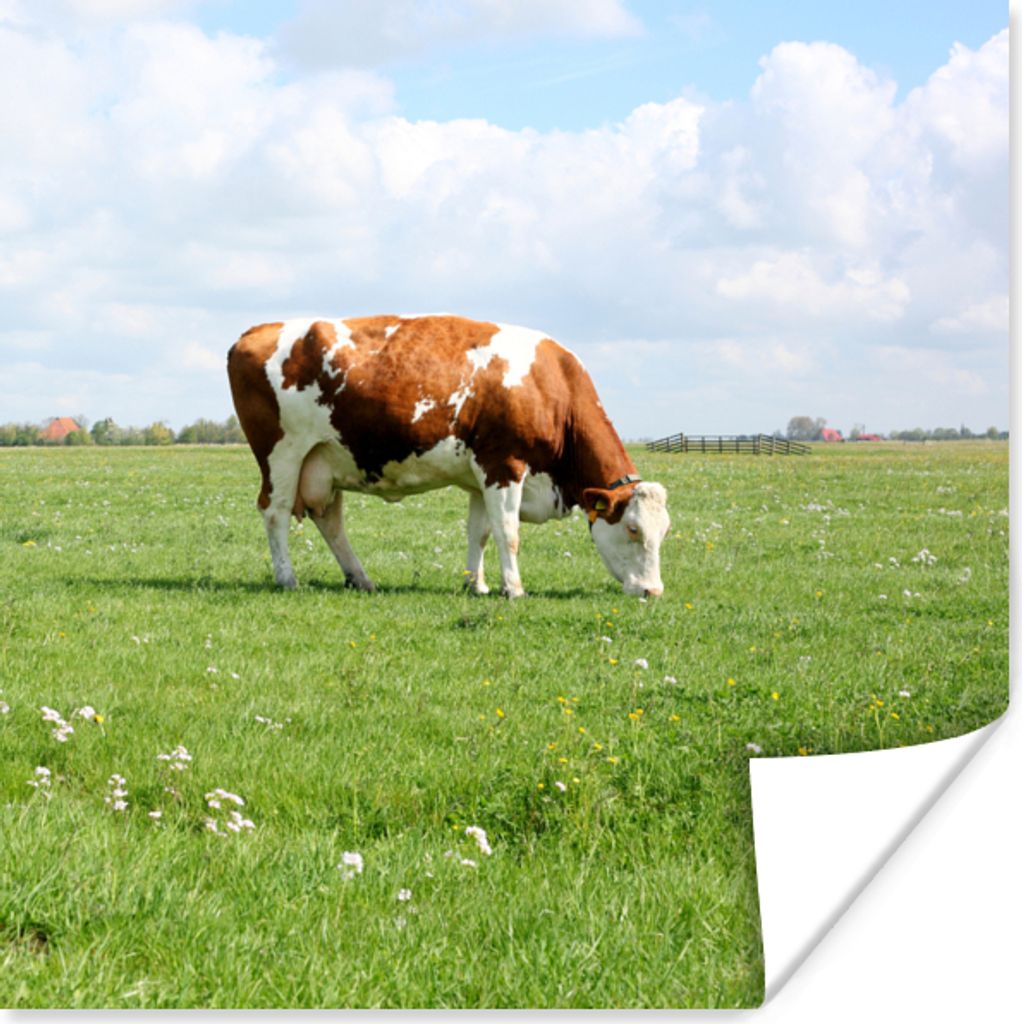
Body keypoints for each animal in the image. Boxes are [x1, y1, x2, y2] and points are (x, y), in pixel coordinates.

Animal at [227, 315, 669, 598]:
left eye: (663, 531)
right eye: (633, 529)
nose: (653, 591)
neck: (550, 387)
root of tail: (255, 331)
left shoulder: (481, 478)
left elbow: (481, 532)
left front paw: (477, 584)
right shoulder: (504, 465)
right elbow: (508, 532)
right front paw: (514, 589)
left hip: (325, 460)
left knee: (330, 520)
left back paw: (360, 578)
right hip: (283, 455)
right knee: (275, 512)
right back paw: (288, 579)